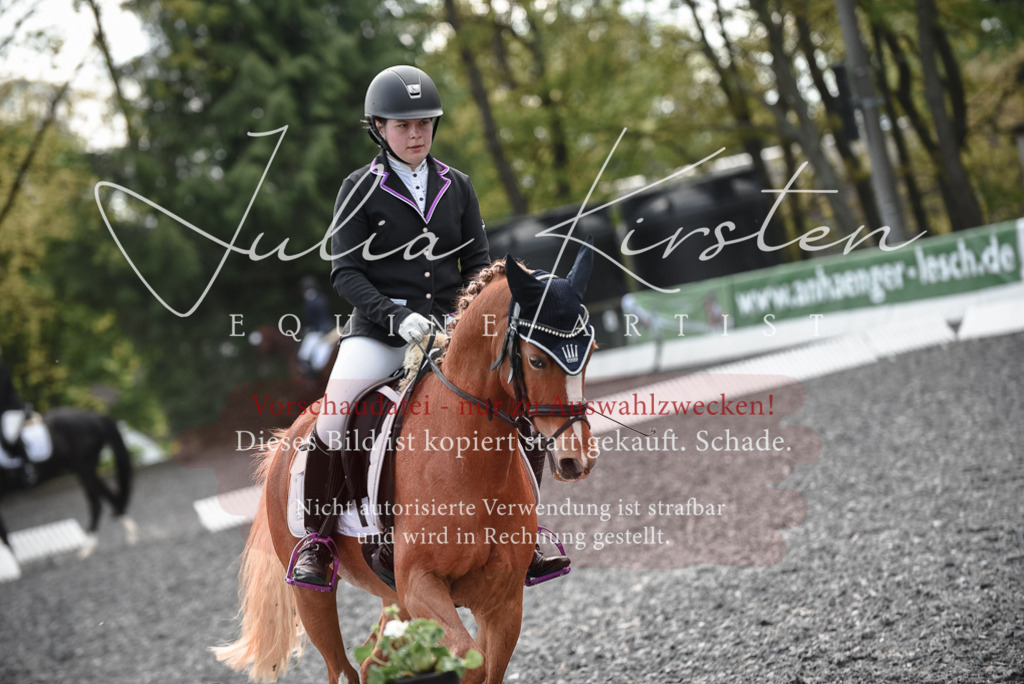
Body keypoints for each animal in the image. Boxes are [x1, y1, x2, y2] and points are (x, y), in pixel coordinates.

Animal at [0, 407, 136, 555]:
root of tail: (95, 417)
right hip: (82, 469)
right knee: (108, 494)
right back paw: (128, 530)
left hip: (84, 468)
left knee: (96, 503)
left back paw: (90, 544)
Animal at [213, 250, 600, 684]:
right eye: (536, 360)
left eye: (592, 351)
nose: (577, 458)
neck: (467, 465)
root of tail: (287, 440)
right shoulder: (420, 585)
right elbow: (470, 660)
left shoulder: (502, 604)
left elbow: (487, 666)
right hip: (313, 594)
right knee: (343, 667)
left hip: (392, 598)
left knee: (370, 663)